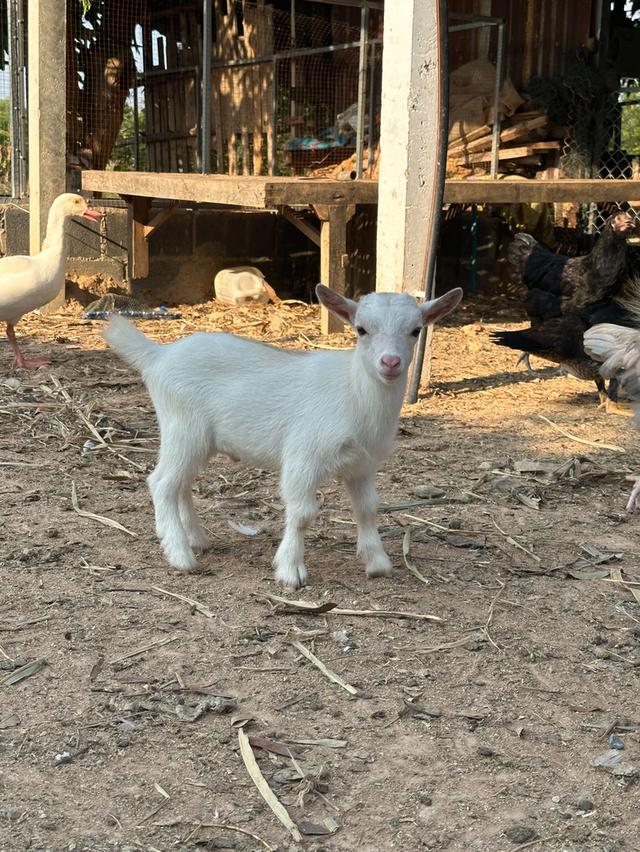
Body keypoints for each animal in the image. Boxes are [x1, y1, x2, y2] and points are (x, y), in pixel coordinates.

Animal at [103, 284, 463, 587]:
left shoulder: (362, 466)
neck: (354, 392)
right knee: (162, 483)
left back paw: (197, 539)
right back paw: (180, 555)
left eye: (416, 330)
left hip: (198, 440)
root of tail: (159, 355)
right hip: (182, 428)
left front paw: (377, 563)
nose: (390, 362)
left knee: (182, 484)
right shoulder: (303, 457)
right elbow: (302, 514)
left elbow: (368, 508)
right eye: (361, 329)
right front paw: (291, 571)